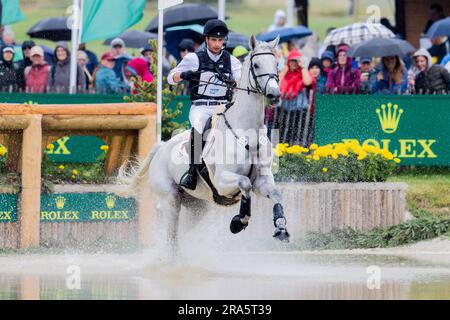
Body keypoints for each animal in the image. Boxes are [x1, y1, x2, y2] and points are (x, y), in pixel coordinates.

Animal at [118, 36, 290, 252]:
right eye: (257, 65)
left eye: (276, 64)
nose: (275, 95)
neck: (246, 133)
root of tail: (161, 148)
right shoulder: (223, 182)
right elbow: (245, 184)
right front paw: (238, 221)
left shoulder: (263, 181)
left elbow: (275, 193)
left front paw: (281, 228)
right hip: (170, 200)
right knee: (171, 237)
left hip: (197, 207)